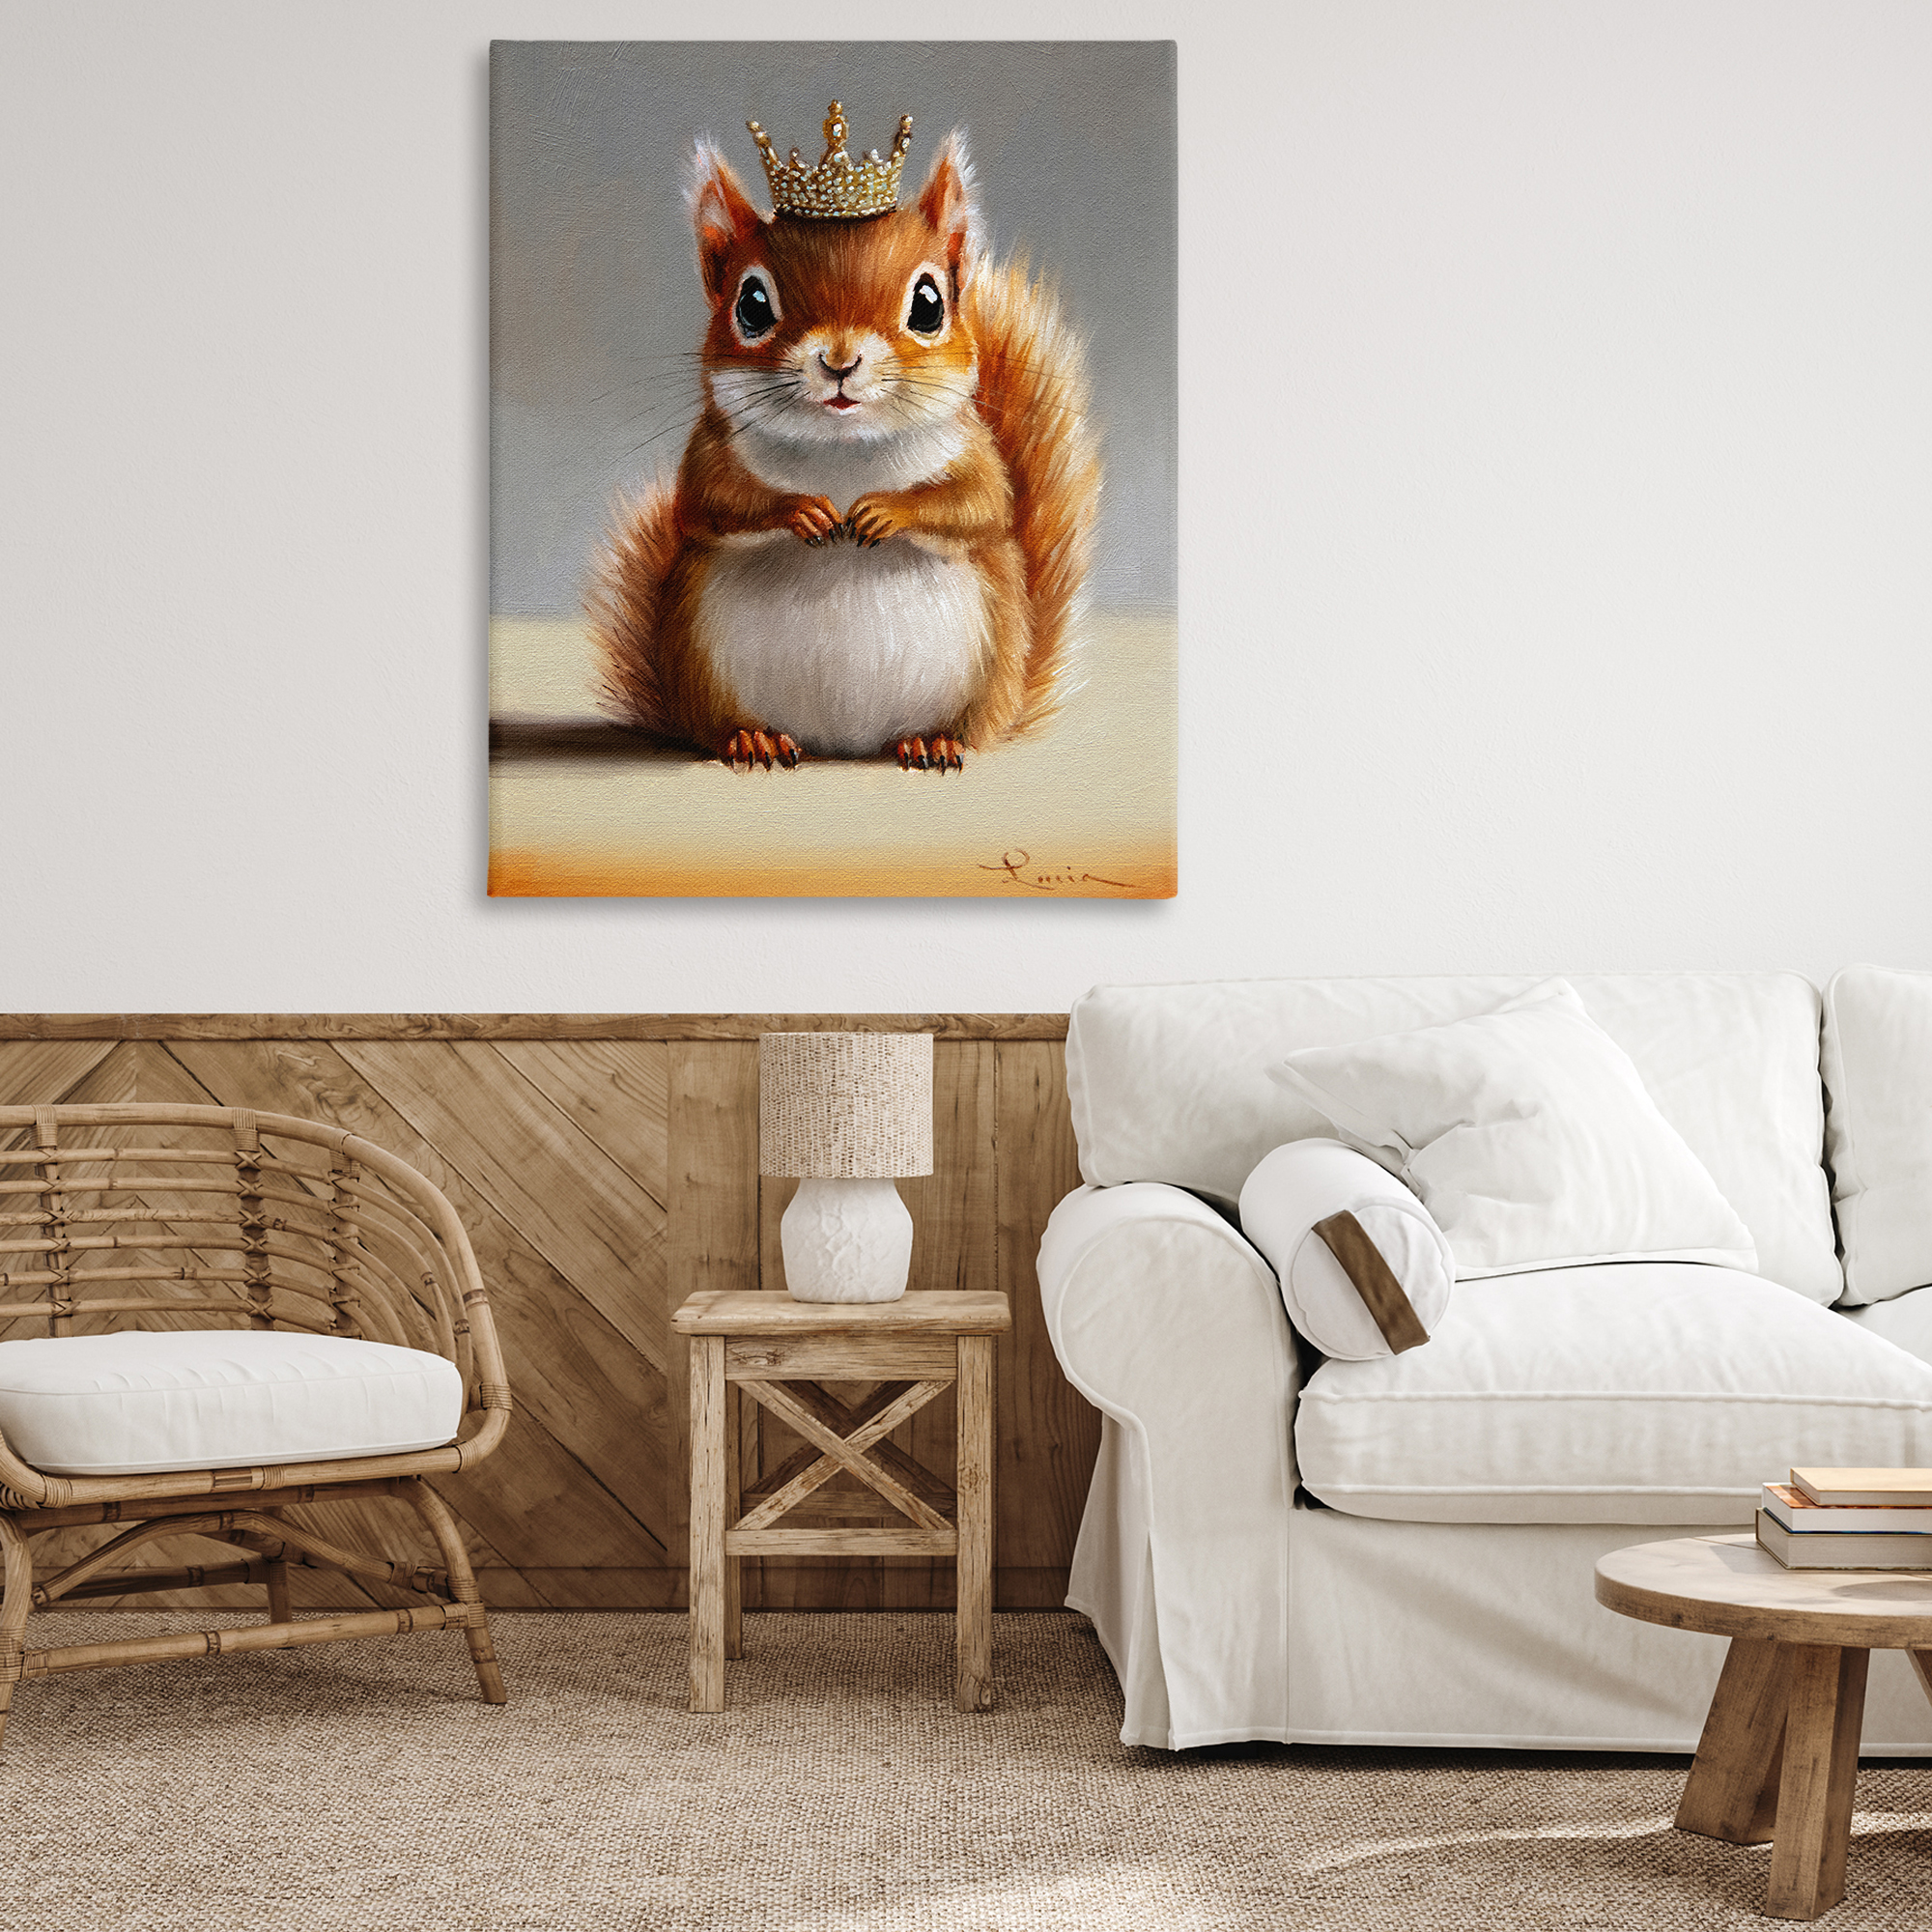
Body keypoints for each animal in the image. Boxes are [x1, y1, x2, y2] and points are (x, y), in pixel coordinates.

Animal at [590, 103, 1100, 773]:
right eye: (751, 304)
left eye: (930, 304)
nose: (839, 361)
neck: (843, 449)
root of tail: (844, 744)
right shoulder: (709, 452)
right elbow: (708, 503)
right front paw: (801, 510)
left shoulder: (975, 453)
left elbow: (978, 504)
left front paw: (886, 511)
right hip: (700, 663)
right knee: (720, 726)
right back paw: (752, 737)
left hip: (987, 670)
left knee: (965, 727)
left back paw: (934, 740)